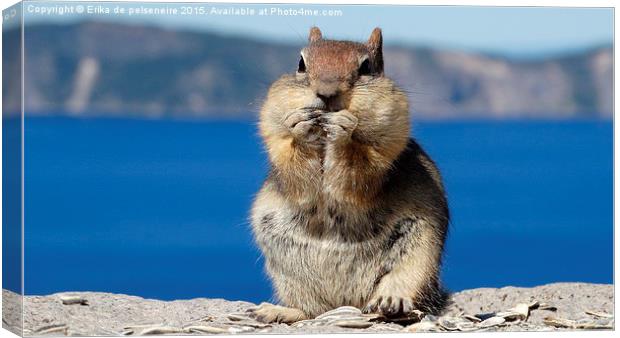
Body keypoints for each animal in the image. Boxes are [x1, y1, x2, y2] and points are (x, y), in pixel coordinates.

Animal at [249, 26, 448, 322]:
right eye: (301, 64)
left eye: (365, 67)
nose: (326, 93)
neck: (324, 141)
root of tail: (345, 302)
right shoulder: (277, 140)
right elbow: (295, 174)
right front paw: (301, 128)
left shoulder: (388, 146)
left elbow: (359, 175)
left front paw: (344, 131)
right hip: (289, 275)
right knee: (311, 310)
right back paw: (278, 311)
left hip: (420, 255)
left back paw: (391, 302)